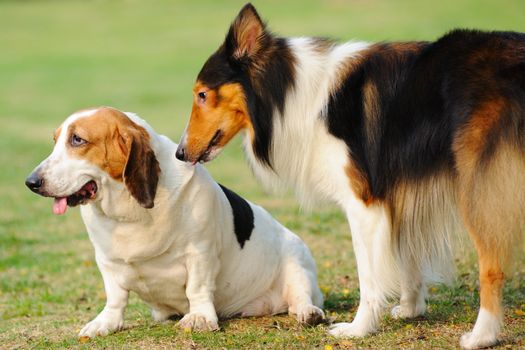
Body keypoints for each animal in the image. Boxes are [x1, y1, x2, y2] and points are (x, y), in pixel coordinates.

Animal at [26, 106, 326, 336]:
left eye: (77, 140)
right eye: (55, 140)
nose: (31, 182)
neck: (127, 210)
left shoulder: (200, 253)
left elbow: (197, 288)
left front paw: (200, 318)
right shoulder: (106, 262)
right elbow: (115, 298)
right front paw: (105, 323)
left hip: (296, 262)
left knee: (300, 297)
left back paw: (309, 313)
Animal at [176, 2, 524, 348]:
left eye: (202, 94)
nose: (180, 153)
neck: (291, 94)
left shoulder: (363, 204)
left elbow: (369, 275)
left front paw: (359, 328)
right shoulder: (398, 193)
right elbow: (407, 258)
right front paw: (411, 308)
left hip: (479, 189)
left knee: (492, 266)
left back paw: (481, 335)